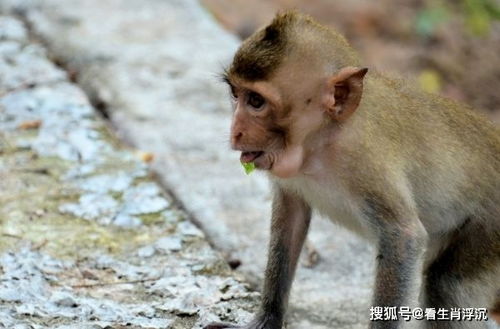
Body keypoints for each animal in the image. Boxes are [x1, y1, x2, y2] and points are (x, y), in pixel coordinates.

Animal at [204, 10, 500, 328]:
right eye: (236, 94)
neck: (320, 142)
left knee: (447, 285)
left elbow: (404, 237)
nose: (235, 131)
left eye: (256, 101)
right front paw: (267, 318)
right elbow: (290, 219)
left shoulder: (363, 162)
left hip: (489, 228)